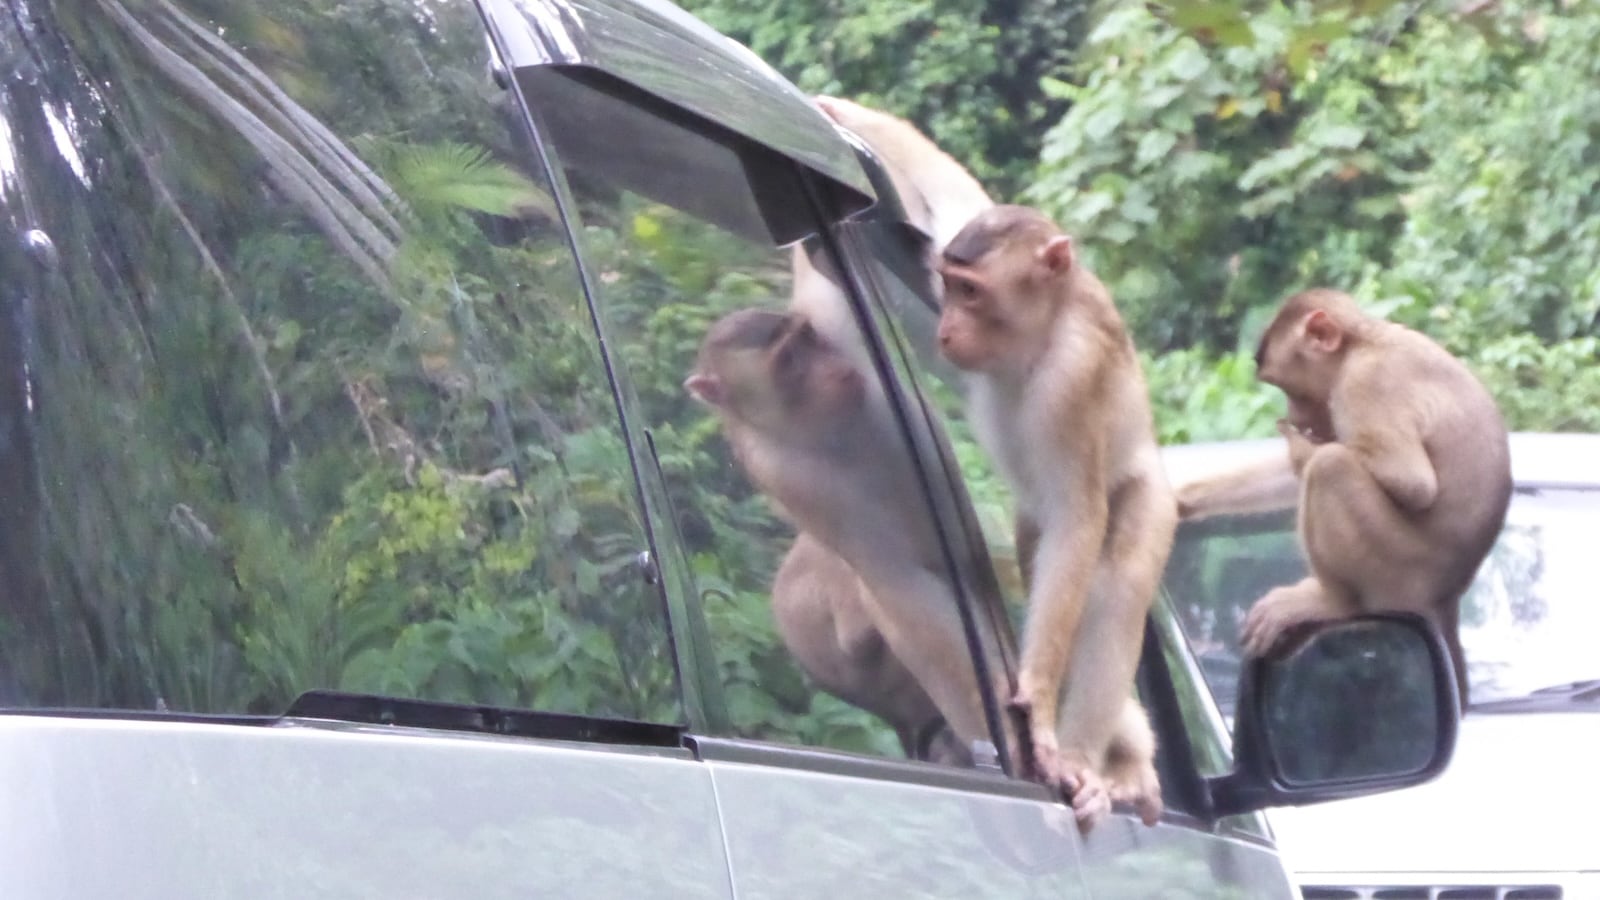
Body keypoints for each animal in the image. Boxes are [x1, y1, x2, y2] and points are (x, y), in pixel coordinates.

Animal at [934, 204, 1177, 826]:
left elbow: (1076, 518)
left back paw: (1095, 764)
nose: (943, 329)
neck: (1043, 330)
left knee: (1120, 575)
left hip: (1148, 491)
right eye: (948, 286)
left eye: (971, 291)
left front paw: (1039, 702)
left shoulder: (1074, 377)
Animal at [1171, 286, 1504, 707]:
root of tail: (1447, 598)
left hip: (1398, 568)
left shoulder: (1363, 386)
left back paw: (1333, 602)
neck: (1363, 342)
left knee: (1330, 467)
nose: (1293, 414)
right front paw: (1179, 499)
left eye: (1288, 388)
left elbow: (1412, 484)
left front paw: (1299, 446)